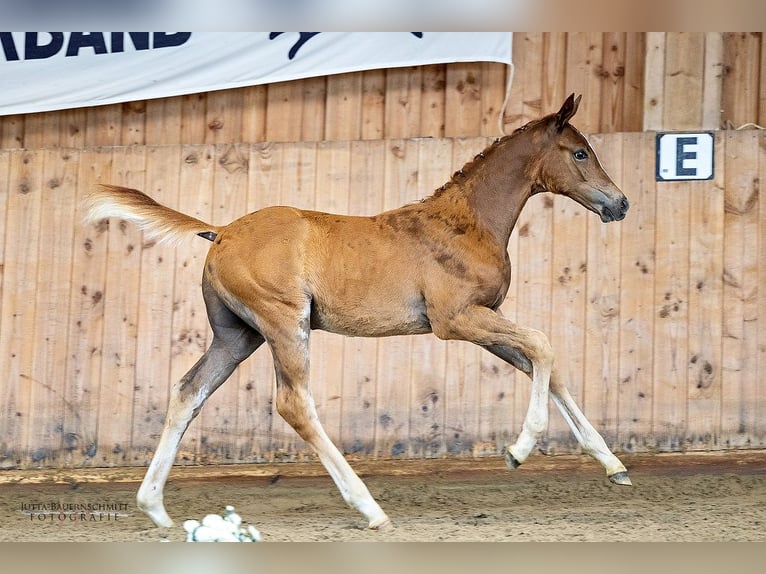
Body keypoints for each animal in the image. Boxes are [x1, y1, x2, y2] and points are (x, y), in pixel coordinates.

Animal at [87, 93, 632, 532]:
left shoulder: (483, 318)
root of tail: (219, 232)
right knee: (294, 404)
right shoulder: (456, 320)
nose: (620, 204)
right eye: (580, 152)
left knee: (188, 391)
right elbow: (542, 345)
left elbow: (547, 366)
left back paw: (156, 509)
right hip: (284, 324)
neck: (466, 222)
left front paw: (613, 466)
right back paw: (369, 508)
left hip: (237, 336)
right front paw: (518, 451)